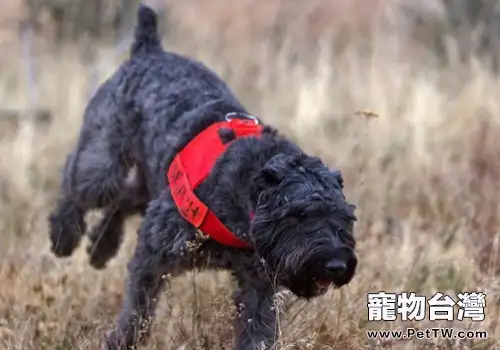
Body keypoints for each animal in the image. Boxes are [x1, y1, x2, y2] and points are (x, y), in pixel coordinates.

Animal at [47, 4, 356, 348]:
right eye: (299, 215)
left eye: (345, 219)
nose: (335, 265)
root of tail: (148, 48)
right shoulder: (153, 254)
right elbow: (137, 308)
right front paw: (121, 341)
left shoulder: (260, 286)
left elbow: (257, 330)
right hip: (105, 161)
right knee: (76, 179)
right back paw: (64, 235)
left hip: (151, 185)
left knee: (123, 199)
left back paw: (101, 246)